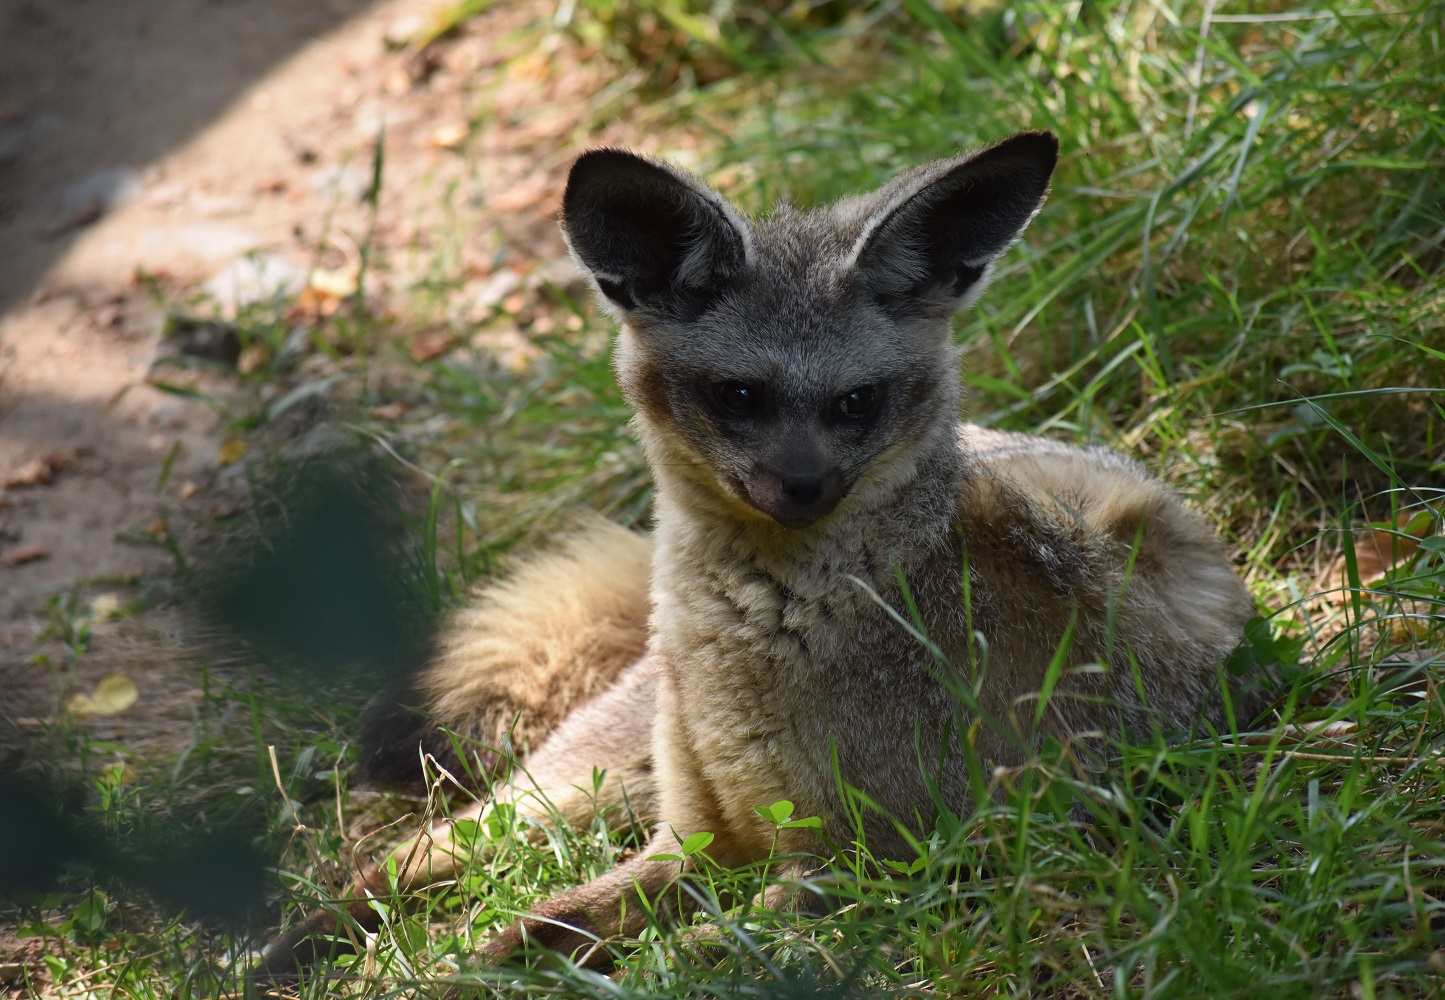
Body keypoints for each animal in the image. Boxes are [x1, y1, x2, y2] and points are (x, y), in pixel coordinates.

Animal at [256, 130, 1258, 979]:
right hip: (586, 782)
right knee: (421, 850)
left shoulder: (865, 866)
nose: (803, 489)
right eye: (738, 395)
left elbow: (672, 957)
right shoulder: (689, 839)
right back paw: (294, 945)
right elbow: (528, 934)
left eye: (857, 402)